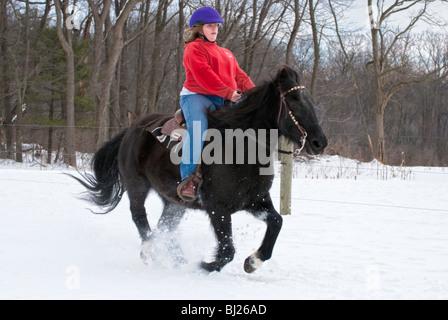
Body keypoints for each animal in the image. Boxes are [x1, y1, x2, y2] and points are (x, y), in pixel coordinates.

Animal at [72, 66, 328, 274]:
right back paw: (151, 250)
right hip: (137, 186)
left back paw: (176, 258)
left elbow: (276, 222)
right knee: (139, 216)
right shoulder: (217, 208)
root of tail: (132, 129)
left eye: (310, 101)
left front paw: (253, 262)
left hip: (174, 203)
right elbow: (227, 251)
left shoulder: (256, 200)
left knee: (166, 228)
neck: (241, 147)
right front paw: (203, 265)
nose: (319, 142)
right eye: (294, 101)